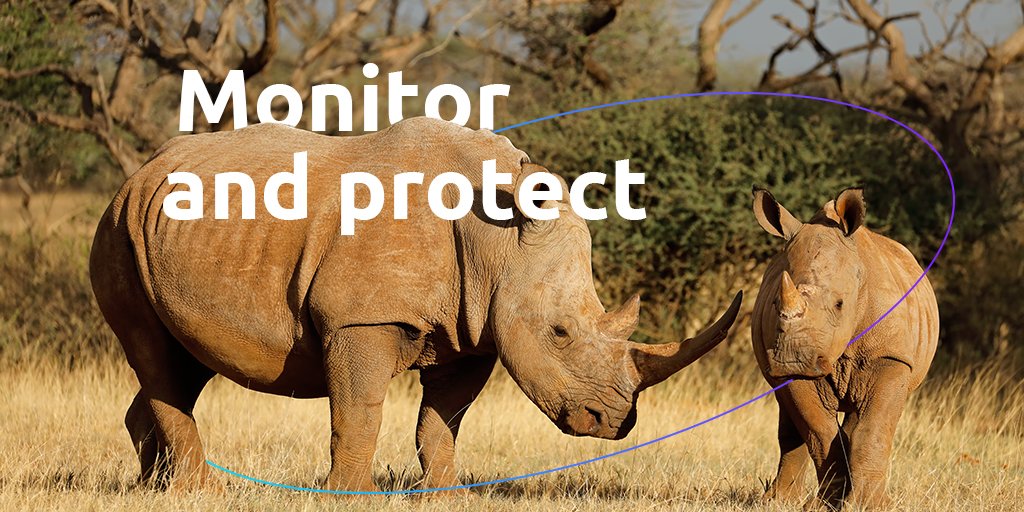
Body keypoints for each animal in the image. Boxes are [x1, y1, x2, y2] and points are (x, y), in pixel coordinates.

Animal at [89, 117, 742, 492]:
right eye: (559, 333)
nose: (613, 423)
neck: (496, 237)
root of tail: (142, 169)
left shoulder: (475, 327)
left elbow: (443, 420)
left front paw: (445, 494)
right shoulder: (360, 318)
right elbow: (358, 414)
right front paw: (348, 496)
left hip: (160, 232)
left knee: (183, 362)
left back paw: (155, 489)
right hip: (118, 224)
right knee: (153, 352)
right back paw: (200, 492)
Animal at [750, 187, 938, 509]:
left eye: (839, 304)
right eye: (774, 303)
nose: (793, 360)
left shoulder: (892, 357)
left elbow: (873, 431)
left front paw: (869, 505)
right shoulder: (798, 370)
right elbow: (820, 431)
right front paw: (824, 505)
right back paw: (776, 501)